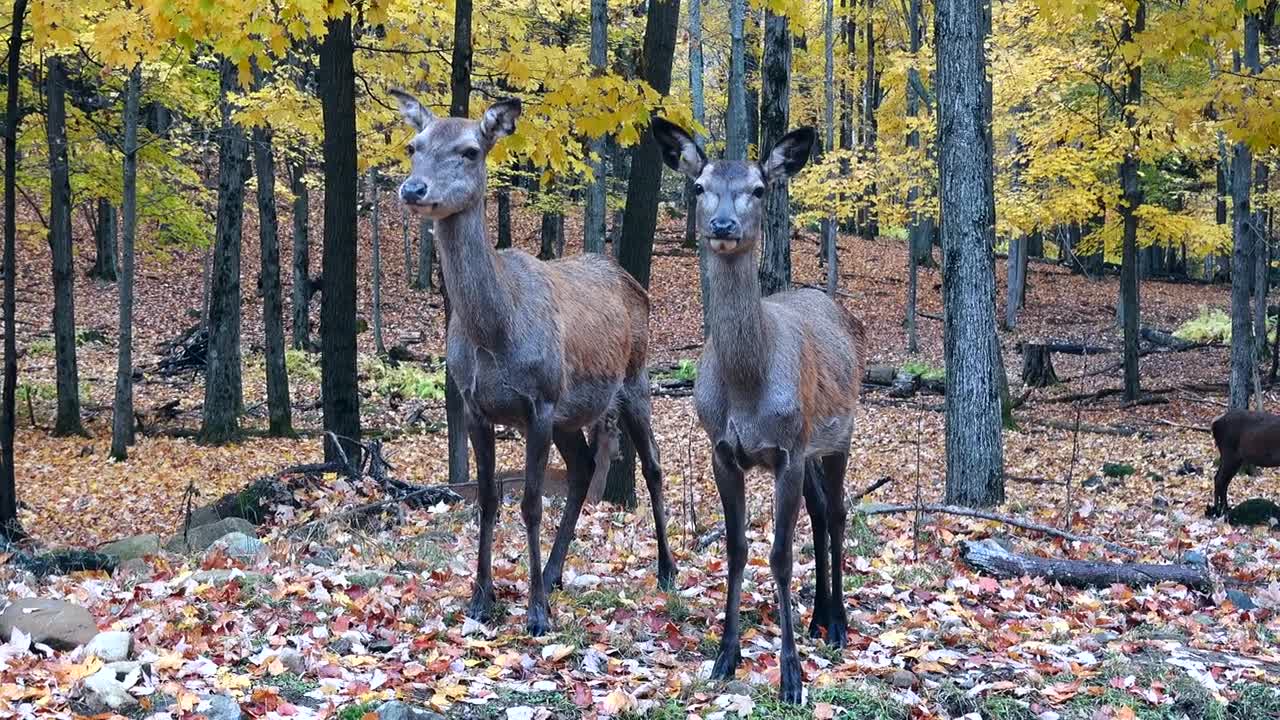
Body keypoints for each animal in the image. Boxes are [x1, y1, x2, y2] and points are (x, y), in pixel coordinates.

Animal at [391, 90, 680, 632]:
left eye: (470, 150)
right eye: (413, 145)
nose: (413, 188)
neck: (496, 333)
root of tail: (634, 282)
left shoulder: (540, 402)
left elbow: (529, 503)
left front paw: (537, 613)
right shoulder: (474, 405)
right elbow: (486, 500)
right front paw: (481, 599)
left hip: (636, 377)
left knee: (652, 465)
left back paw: (667, 570)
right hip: (572, 413)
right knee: (584, 468)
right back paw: (553, 572)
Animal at [655, 117, 865, 702]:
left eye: (758, 188)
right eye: (699, 186)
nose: (723, 224)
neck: (749, 390)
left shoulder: (787, 449)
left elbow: (780, 555)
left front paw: (791, 677)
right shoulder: (724, 451)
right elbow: (735, 549)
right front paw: (725, 657)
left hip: (838, 434)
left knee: (837, 513)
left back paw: (838, 623)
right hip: (812, 446)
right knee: (819, 511)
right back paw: (819, 617)